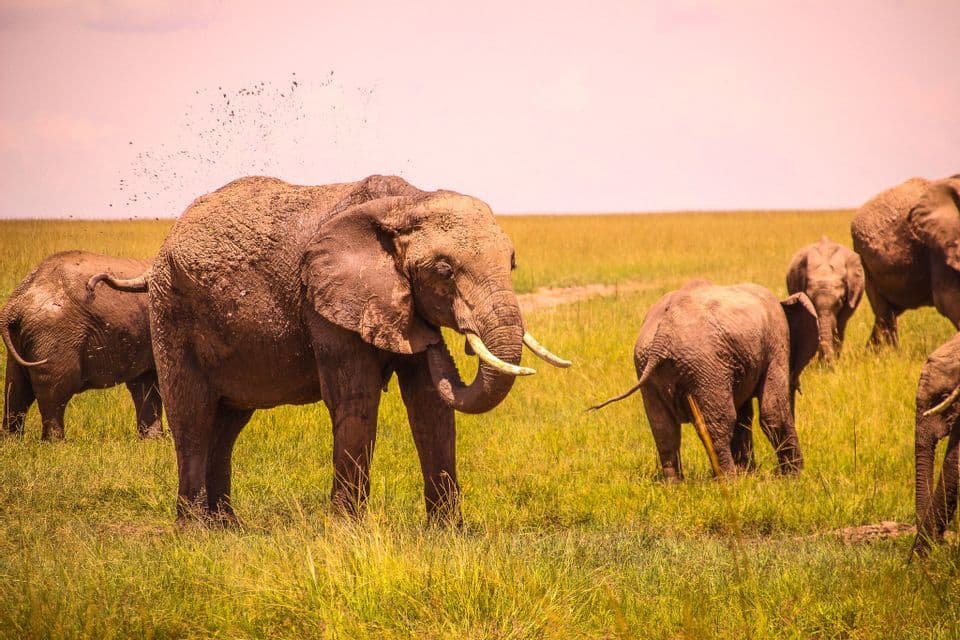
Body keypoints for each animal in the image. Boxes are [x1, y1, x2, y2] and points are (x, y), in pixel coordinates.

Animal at [2, 251, 162, 440]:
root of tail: (14, 304)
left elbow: (145, 383)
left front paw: (152, 441)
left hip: (23, 338)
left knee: (16, 390)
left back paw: (12, 441)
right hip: (54, 336)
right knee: (55, 392)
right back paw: (56, 443)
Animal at [88, 174, 569, 525]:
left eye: (512, 263)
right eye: (444, 270)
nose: (449, 345)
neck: (406, 202)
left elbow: (429, 405)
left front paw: (447, 535)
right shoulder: (325, 303)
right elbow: (356, 400)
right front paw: (346, 533)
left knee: (225, 426)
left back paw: (226, 527)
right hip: (171, 312)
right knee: (193, 418)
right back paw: (194, 531)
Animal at [589, 280, 819, 480]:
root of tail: (662, 336)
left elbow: (745, 416)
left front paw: (751, 474)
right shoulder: (776, 343)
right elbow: (772, 412)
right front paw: (793, 479)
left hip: (649, 366)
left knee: (663, 429)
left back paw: (675, 486)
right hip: (705, 365)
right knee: (719, 423)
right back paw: (730, 482)